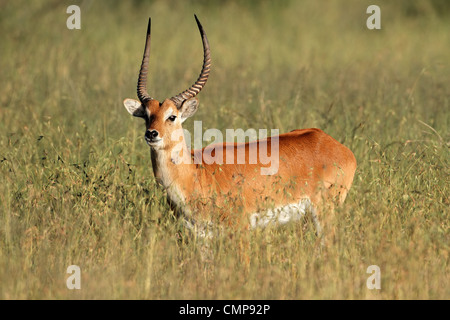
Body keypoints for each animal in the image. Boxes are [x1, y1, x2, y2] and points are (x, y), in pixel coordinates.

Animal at [122, 16, 356, 239]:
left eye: (172, 116)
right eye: (147, 115)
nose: (152, 134)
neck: (196, 174)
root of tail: (335, 145)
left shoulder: (240, 228)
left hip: (323, 212)